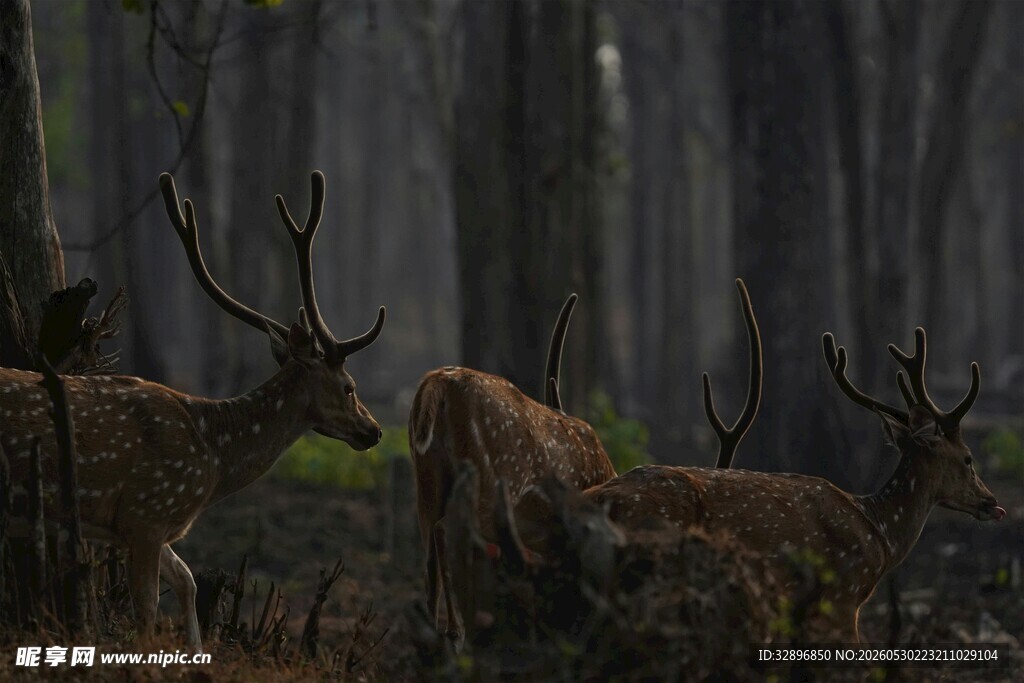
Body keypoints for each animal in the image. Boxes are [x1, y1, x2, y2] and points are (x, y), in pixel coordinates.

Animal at [0, 170, 385, 652]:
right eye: (350, 387)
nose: (374, 430)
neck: (211, 460)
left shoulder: (146, 523)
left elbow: (188, 580)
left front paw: (197, 652)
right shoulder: (148, 509)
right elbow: (147, 610)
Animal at [409, 293, 616, 641]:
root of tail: (437, 383)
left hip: (427, 477)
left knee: (427, 553)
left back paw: (434, 632)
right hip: (492, 480)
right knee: (447, 530)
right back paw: (455, 629)